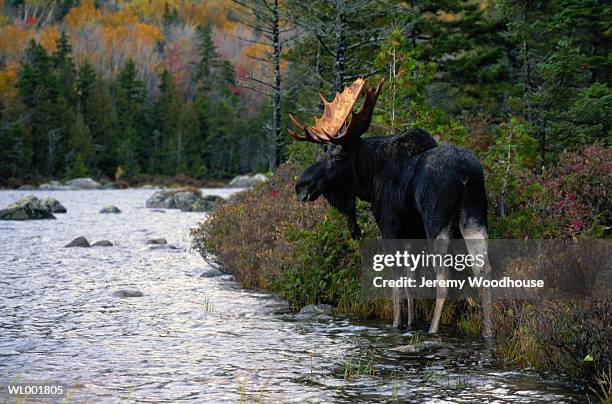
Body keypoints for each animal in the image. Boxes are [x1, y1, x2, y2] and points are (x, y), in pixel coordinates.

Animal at [290, 78, 494, 338]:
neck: (369, 178)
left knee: (444, 276)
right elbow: (411, 281)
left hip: (437, 222)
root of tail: (467, 172)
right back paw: (488, 331)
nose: (300, 185)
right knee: (483, 270)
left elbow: (397, 282)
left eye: (336, 156)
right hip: (474, 216)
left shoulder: (389, 227)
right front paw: (411, 322)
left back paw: (433, 330)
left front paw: (397, 324)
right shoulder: (411, 233)